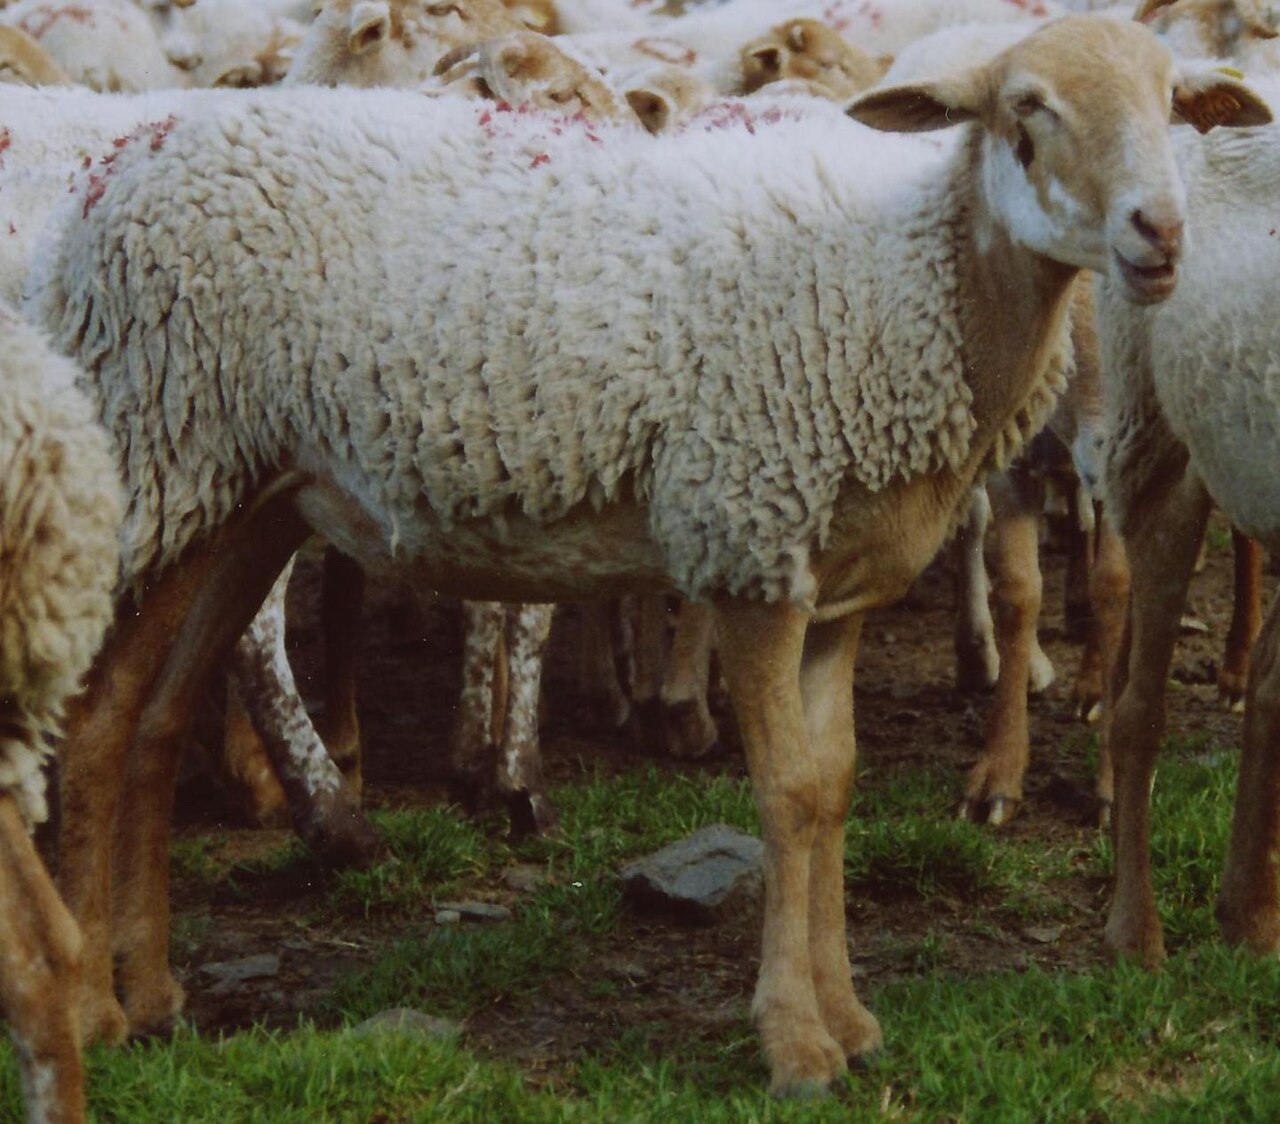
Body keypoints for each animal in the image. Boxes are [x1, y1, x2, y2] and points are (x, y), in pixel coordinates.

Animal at [33, 17, 1263, 1090]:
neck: (908, 279)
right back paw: (92, 1009)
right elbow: (787, 794)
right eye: (1026, 110)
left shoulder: (836, 589)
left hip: (252, 491)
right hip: (160, 452)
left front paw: (850, 1019)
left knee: (155, 721)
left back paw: (155, 994)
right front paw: (794, 1042)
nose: (1160, 234)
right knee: (97, 725)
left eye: (1171, 102)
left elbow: (834, 788)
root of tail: (123, 167)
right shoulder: (750, 541)